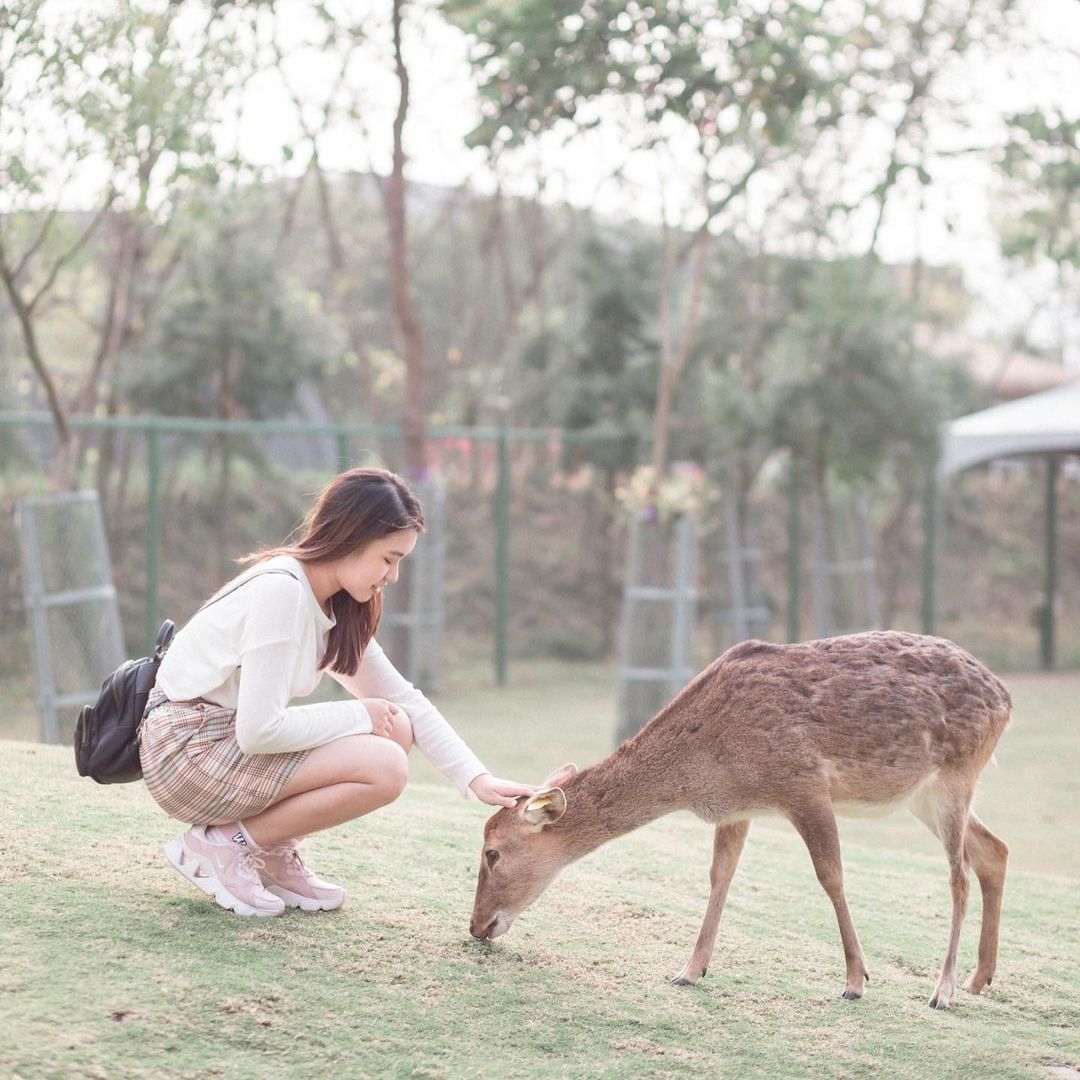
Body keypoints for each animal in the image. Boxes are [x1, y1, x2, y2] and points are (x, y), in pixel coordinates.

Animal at [473, 630, 1010, 1006]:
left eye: (492, 852)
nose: (478, 926)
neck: (705, 767)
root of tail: (1005, 697)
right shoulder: (737, 809)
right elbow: (720, 876)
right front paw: (689, 970)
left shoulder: (804, 785)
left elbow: (831, 875)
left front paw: (856, 980)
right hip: (924, 796)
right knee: (994, 849)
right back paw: (979, 978)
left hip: (957, 775)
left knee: (958, 876)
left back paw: (943, 991)